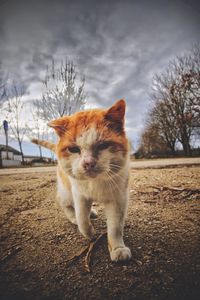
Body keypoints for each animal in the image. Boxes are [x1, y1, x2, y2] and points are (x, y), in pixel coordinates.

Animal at [31, 99, 131, 262]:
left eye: (103, 145)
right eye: (73, 149)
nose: (88, 163)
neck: (96, 183)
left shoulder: (118, 199)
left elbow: (115, 227)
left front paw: (117, 248)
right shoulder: (80, 195)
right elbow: (82, 219)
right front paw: (89, 232)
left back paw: (93, 212)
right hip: (66, 190)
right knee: (63, 202)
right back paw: (74, 218)